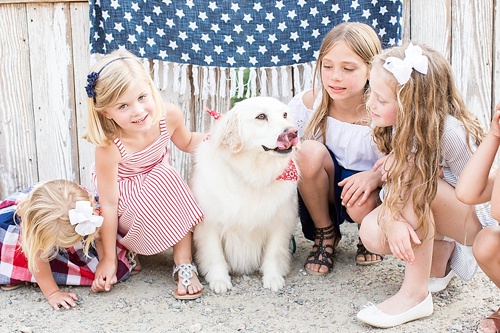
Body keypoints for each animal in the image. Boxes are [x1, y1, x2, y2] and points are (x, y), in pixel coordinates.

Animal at [190, 96, 300, 294]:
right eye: (261, 116)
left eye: (285, 114)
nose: (293, 132)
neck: (253, 174)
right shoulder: (209, 223)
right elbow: (215, 254)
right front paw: (219, 279)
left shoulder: (280, 220)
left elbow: (273, 253)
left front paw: (272, 277)